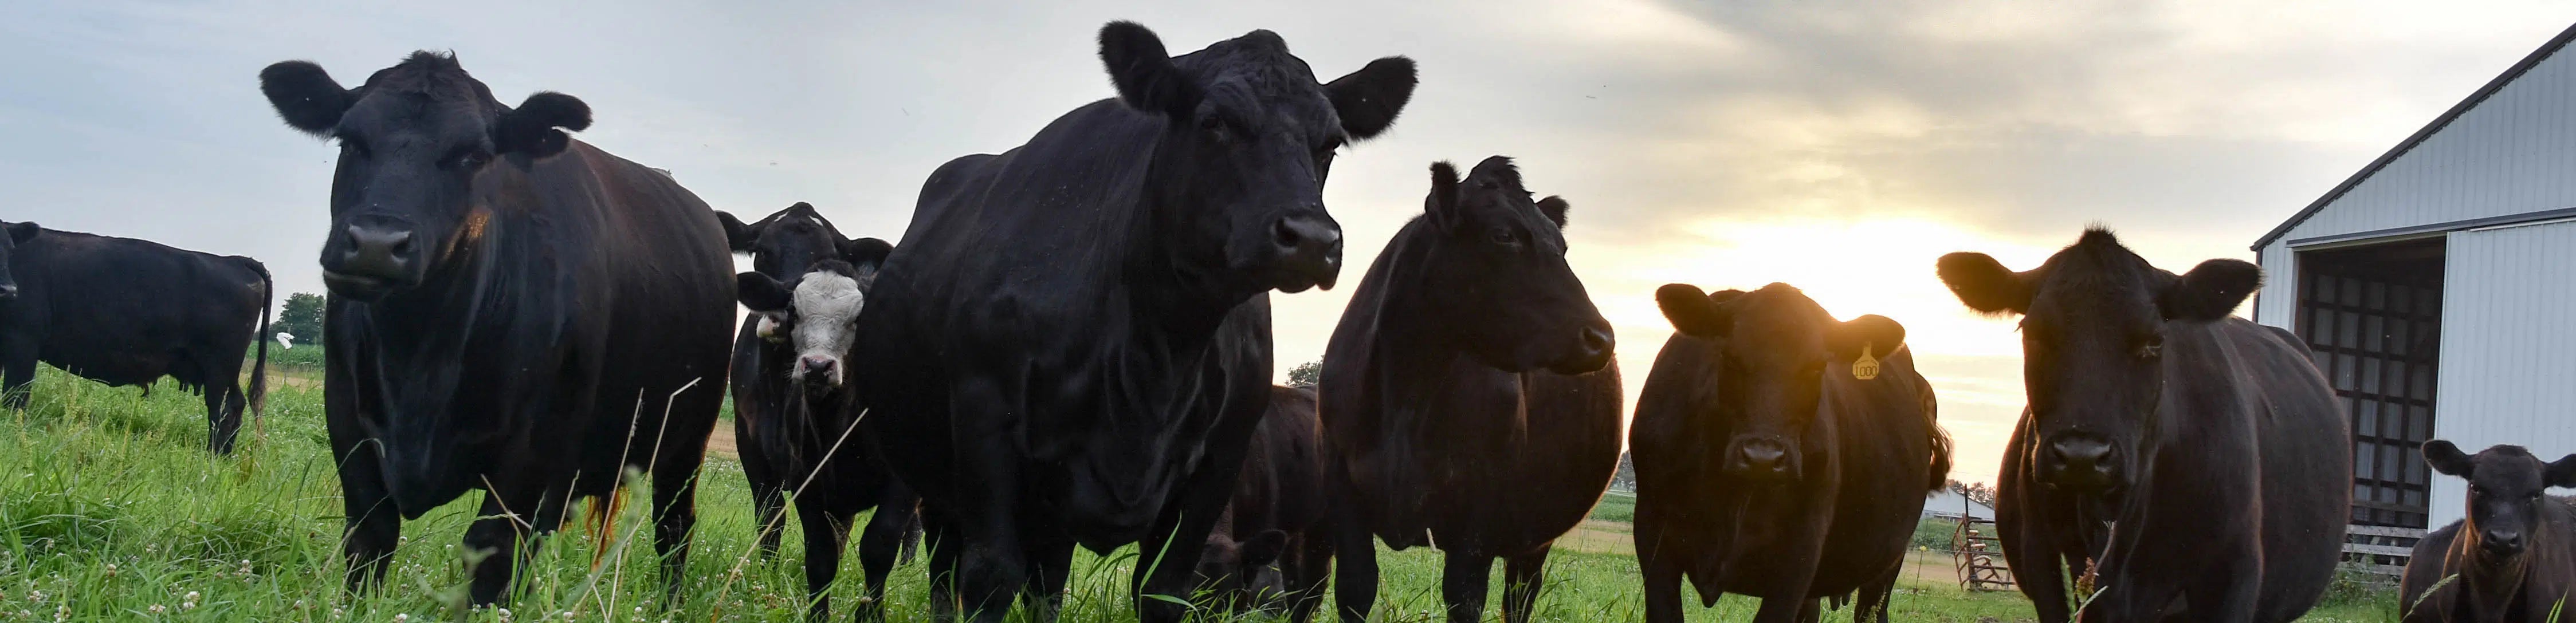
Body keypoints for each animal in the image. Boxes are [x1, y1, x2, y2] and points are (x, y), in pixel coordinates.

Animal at [0, 222, 271, 454]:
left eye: (10, 251)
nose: (9, 291)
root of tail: (236, 261)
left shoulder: (23, 342)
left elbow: (15, 396)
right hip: (224, 370)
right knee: (236, 405)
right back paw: (224, 455)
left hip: (220, 367)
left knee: (224, 408)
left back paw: (213, 455)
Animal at [258, 52, 736, 606]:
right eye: (350, 140)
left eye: (475, 155)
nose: (376, 244)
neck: (420, 356)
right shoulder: (347, 419)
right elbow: (370, 536)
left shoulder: (535, 451)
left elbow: (491, 554)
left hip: (686, 441)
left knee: (674, 529)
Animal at [721, 203, 921, 622]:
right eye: (763, 251)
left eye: (859, 318)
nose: (816, 366)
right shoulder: (784, 467)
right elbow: (806, 546)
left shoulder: (902, 484)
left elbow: (880, 546)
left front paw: (871, 613)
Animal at [1318, 158, 1620, 623]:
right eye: (1503, 235)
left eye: (1562, 247)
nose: (1601, 337)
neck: (1407, 394)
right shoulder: (1342, 490)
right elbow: (1356, 588)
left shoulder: (1479, 517)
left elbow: (1465, 598)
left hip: (1535, 533)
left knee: (1520, 596)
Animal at [1632, 282, 1952, 623]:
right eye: (1729, 357)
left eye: (1817, 366)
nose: (1762, 458)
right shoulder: (1653, 532)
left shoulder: (1800, 552)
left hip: (1888, 562)